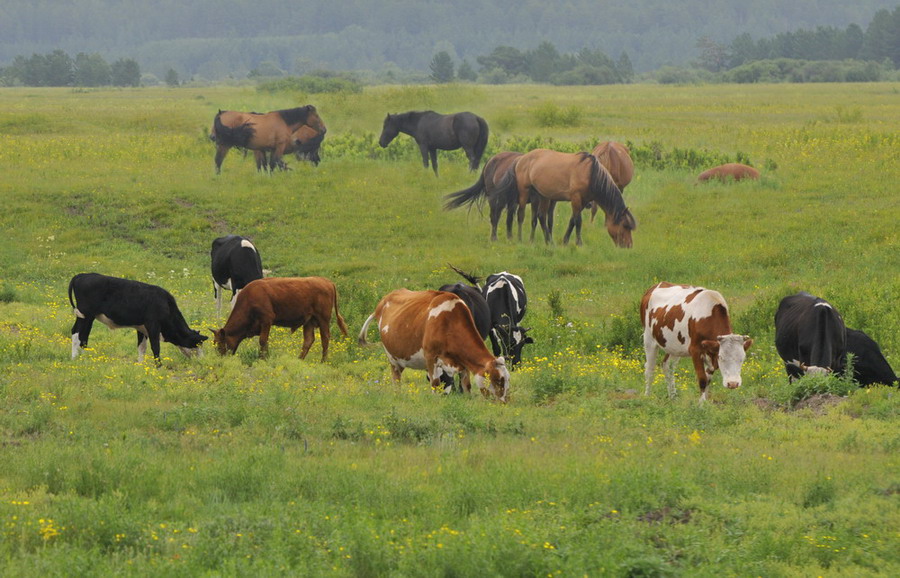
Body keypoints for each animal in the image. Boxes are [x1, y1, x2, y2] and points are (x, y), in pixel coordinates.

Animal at [69, 270, 207, 360]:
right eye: (198, 344)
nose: (202, 360)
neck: (166, 304)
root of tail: (82, 275)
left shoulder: (141, 328)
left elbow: (142, 347)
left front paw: (141, 366)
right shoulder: (153, 325)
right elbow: (155, 347)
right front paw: (158, 367)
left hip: (89, 317)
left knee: (84, 336)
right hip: (84, 314)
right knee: (76, 333)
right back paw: (74, 357)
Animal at [211, 276, 348, 360]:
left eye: (220, 343)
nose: (219, 357)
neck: (249, 299)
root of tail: (326, 281)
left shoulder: (266, 320)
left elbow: (263, 341)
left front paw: (263, 358)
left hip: (323, 319)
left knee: (325, 339)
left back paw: (322, 361)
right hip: (309, 321)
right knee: (308, 340)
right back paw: (299, 360)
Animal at [360, 288, 512, 400]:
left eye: (507, 379)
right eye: (498, 379)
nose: (505, 402)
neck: (449, 322)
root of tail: (383, 301)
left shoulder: (462, 361)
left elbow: (466, 385)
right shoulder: (430, 357)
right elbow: (435, 383)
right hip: (392, 358)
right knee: (396, 379)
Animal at [500, 148, 640, 245]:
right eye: (625, 226)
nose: (629, 245)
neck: (590, 173)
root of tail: (521, 159)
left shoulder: (583, 201)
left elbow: (572, 220)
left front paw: (565, 241)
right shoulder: (576, 198)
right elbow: (578, 221)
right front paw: (579, 243)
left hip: (542, 195)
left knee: (541, 216)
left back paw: (549, 241)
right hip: (524, 192)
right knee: (521, 215)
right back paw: (520, 239)